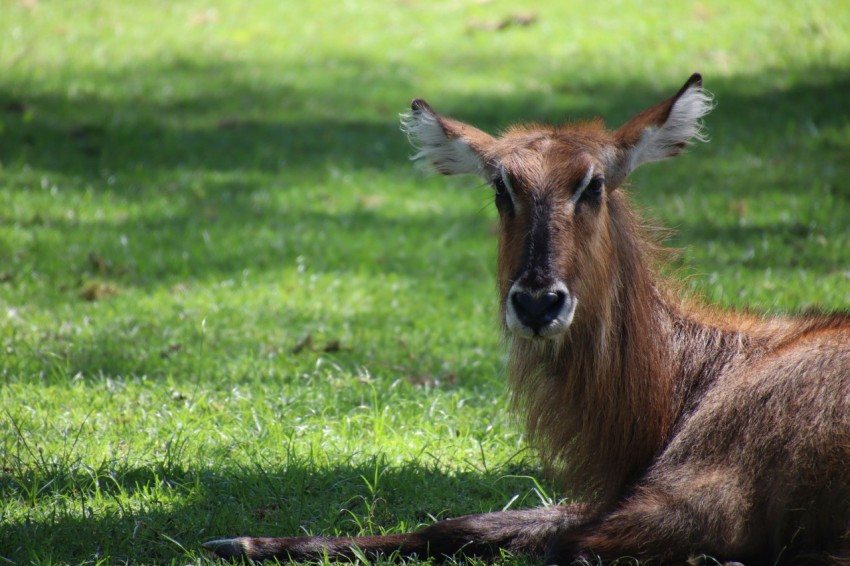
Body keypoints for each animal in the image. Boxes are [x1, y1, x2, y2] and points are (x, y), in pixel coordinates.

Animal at [204, 74, 850, 564]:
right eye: (501, 187)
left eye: (592, 184)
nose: (538, 302)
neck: (688, 384)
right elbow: (459, 525)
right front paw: (240, 540)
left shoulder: (698, 495)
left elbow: (558, 543)